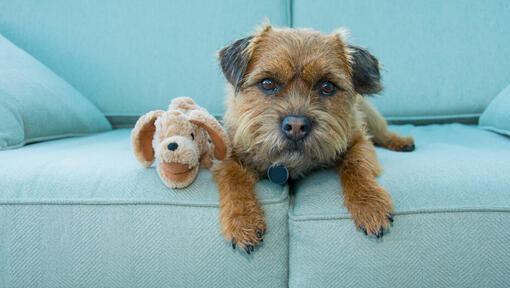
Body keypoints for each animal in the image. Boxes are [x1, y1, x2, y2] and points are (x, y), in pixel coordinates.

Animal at [211, 24, 414, 254]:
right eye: (267, 83)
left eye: (327, 86)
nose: (296, 126)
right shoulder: (229, 156)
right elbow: (232, 178)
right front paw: (242, 221)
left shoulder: (359, 140)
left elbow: (356, 165)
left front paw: (370, 204)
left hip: (371, 116)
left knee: (383, 132)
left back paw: (401, 141)